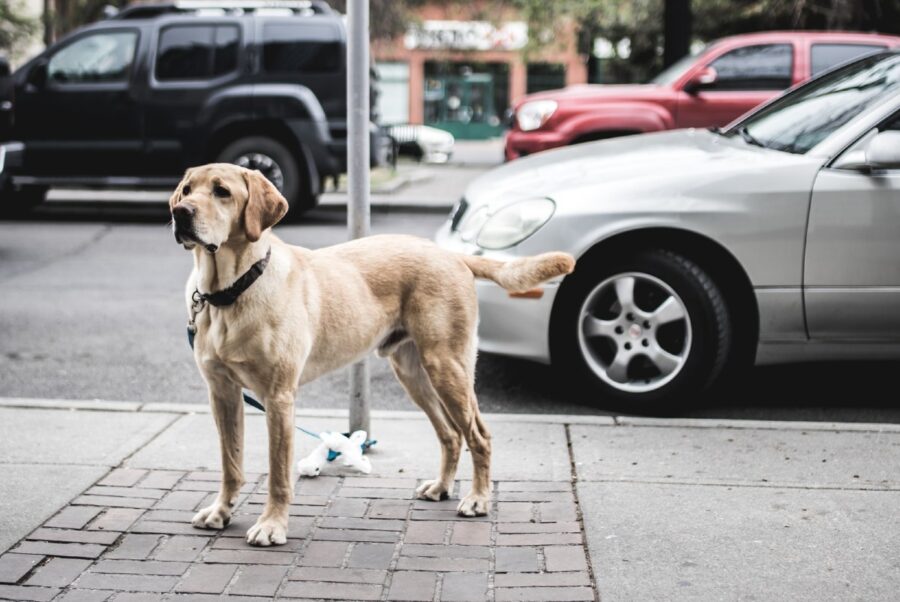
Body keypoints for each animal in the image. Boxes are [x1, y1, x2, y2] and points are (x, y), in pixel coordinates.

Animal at [170, 163, 576, 544]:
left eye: (222, 191)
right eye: (187, 190)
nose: (179, 212)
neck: (230, 292)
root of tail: (451, 255)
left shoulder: (279, 397)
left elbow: (278, 474)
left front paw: (272, 525)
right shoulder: (223, 394)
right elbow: (231, 463)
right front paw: (221, 511)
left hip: (448, 366)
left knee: (478, 435)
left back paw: (478, 498)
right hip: (414, 373)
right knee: (450, 434)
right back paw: (442, 487)